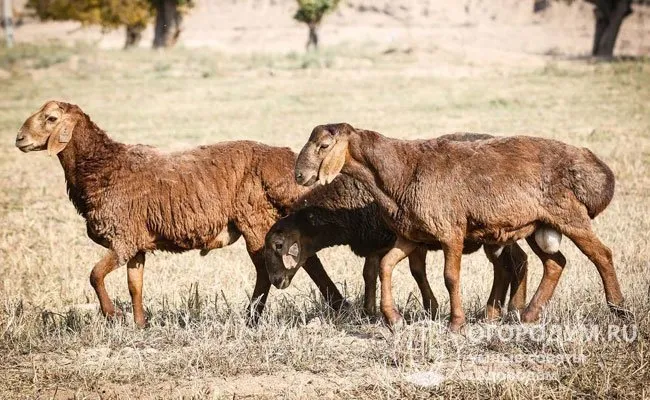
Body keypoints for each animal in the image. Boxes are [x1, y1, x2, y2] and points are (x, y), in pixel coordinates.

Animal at [13, 101, 344, 328]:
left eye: (51, 118)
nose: (19, 139)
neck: (103, 167)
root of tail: (283, 162)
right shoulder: (136, 244)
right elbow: (135, 285)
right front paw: (140, 325)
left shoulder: (122, 239)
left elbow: (94, 275)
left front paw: (112, 315)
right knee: (304, 258)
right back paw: (337, 304)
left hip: (255, 219)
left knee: (268, 270)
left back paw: (253, 317)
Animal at [262, 172, 528, 318]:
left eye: (278, 245)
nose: (275, 280)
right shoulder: (374, 242)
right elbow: (369, 273)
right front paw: (369, 311)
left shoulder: (411, 240)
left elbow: (416, 271)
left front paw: (431, 308)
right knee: (517, 261)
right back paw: (511, 308)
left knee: (509, 265)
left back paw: (503, 309)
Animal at [294, 123, 628, 332]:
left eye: (324, 145)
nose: (299, 175)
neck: (399, 174)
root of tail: (592, 164)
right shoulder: (412, 235)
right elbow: (386, 265)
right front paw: (394, 319)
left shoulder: (450, 232)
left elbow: (450, 277)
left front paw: (456, 324)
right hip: (538, 226)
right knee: (556, 263)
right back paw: (528, 315)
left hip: (570, 215)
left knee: (602, 255)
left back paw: (620, 311)